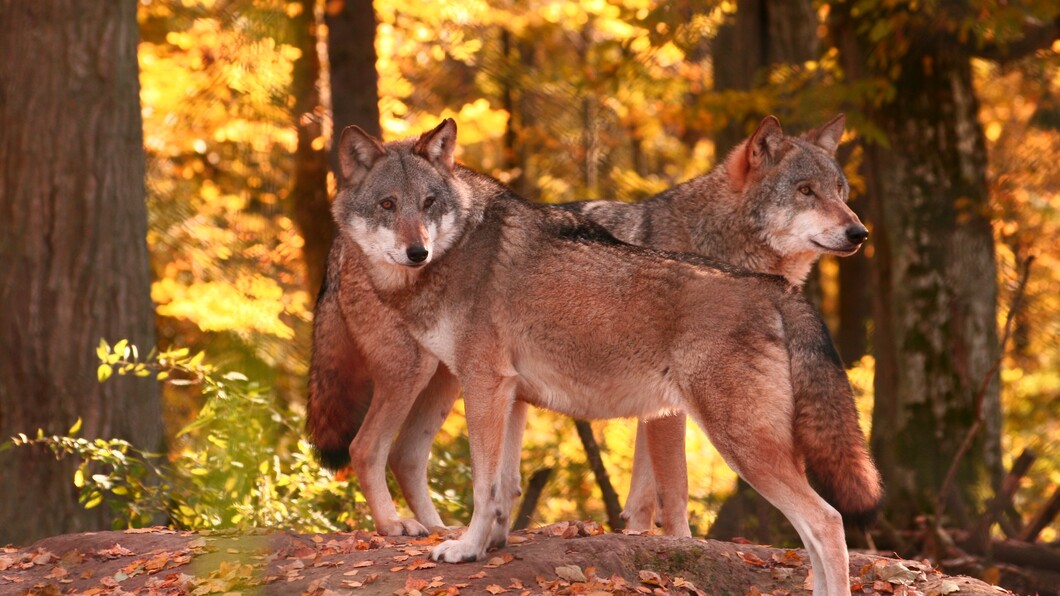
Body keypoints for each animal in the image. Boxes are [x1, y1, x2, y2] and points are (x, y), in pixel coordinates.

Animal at [326, 117, 881, 593]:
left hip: (741, 444)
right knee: (383, 450)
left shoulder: (489, 386)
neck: (459, 248)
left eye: (429, 202)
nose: (416, 251)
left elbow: (487, 485)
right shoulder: (508, 393)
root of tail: (775, 288)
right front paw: (489, 545)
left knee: (826, 521)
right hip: (425, 378)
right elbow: (506, 485)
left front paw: (466, 549)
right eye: (388, 205)